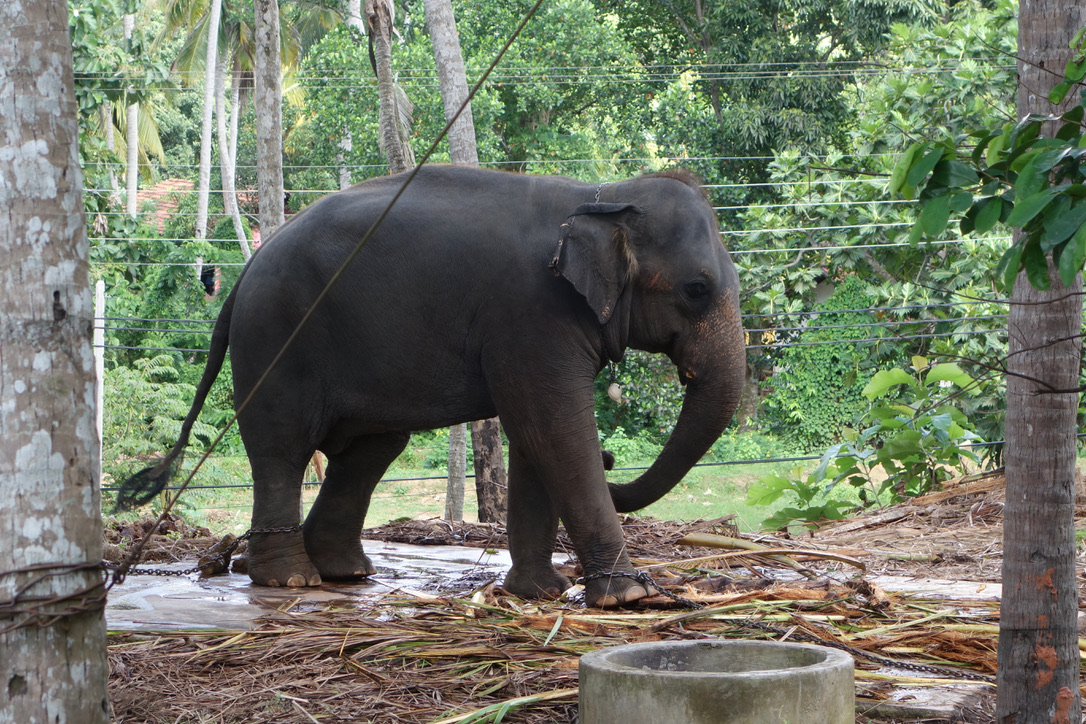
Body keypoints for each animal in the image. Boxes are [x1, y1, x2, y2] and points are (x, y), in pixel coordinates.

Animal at [118, 165, 745, 608]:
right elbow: (556, 427)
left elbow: (538, 433)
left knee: (370, 450)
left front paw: (540, 592)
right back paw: (292, 580)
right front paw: (630, 596)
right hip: (276, 336)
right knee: (283, 446)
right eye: (695, 288)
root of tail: (244, 272)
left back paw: (344, 571)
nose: (615, 459)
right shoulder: (532, 315)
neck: (602, 194)